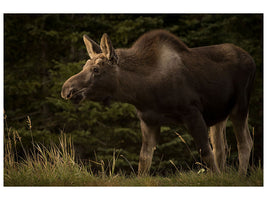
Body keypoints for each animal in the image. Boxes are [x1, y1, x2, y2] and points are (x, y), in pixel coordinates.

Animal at [61, 29, 256, 175]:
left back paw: (240, 177)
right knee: (221, 147)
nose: (66, 89)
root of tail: (252, 59)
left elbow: (206, 153)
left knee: (245, 142)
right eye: (84, 66)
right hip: (219, 114)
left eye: (96, 69)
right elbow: (144, 161)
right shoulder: (149, 121)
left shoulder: (192, 113)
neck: (143, 91)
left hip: (240, 105)